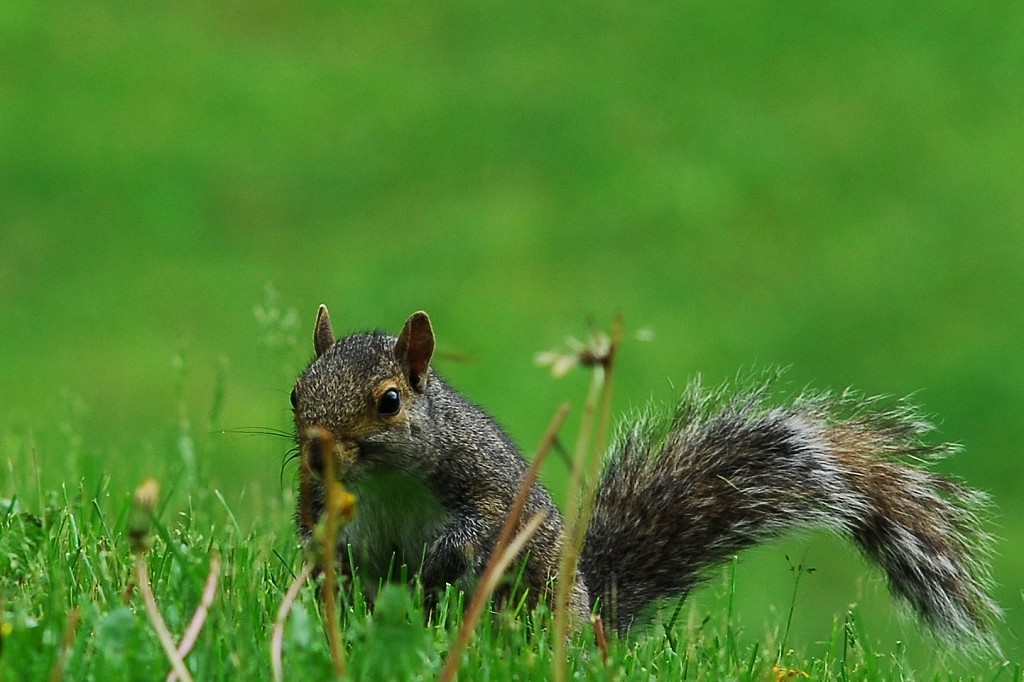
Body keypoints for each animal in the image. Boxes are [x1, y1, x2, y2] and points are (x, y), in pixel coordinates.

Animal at [290, 305, 999, 647]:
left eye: (389, 401)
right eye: (297, 392)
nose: (317, 454)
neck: (388, 480)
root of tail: (593, 615)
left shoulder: (483, 479)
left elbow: (491, 527)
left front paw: (437, 557)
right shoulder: (325, 504)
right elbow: (327, 545)